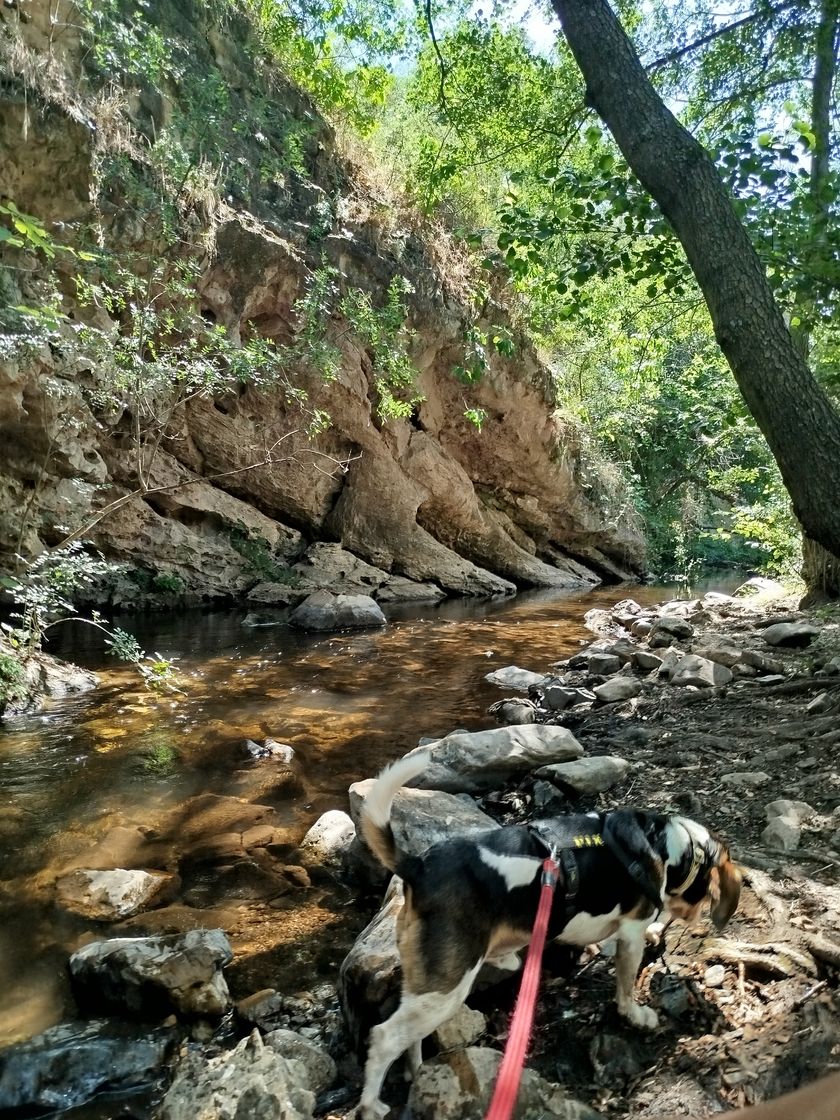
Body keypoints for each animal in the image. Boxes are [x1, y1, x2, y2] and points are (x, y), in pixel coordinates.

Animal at [356, 748, 743, 1115]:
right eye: (706, 894)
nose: (694, 916)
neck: (669, 843)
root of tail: (418, 867)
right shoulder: (631, 932)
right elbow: (626, 986)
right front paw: (636, 1015)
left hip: (426, 988)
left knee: (409, 1035)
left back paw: (416, 1069)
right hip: (446, 988)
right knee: (385, 1036)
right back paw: (371, 1104)